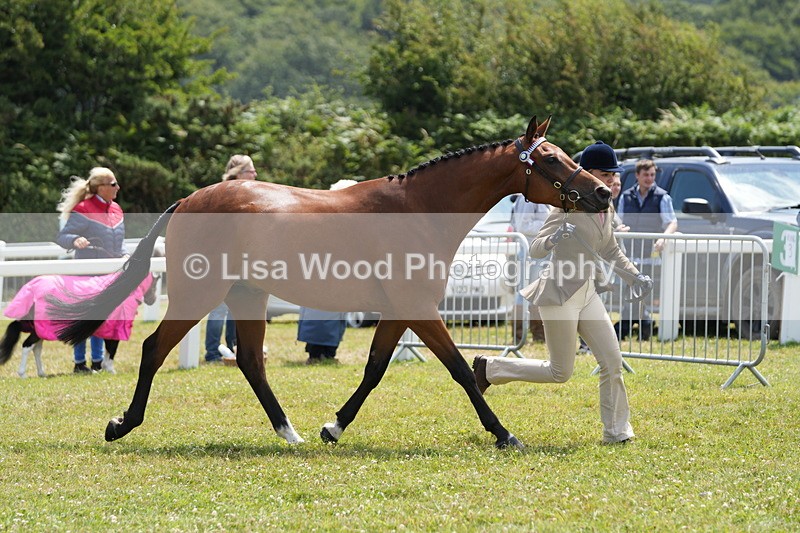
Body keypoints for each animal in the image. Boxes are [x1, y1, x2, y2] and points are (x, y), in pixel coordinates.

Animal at [0, 271, 159, 376]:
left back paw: (41, 373)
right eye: (154, 286)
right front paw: (110, 370)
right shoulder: (115, 330)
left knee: (36, 348)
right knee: (27, 346)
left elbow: (108, 350)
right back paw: (22, 373)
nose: (152, 300)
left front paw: (103, 368)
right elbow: (112, 349)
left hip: (39, 330)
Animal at [54, 116, 611, 449]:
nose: (603, 193)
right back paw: (122, 424)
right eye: (552, 159)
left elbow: (375, 368)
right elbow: (457, 369)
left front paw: (332, 426)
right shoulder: (419, 308)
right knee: (154, 349)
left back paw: (291, 433)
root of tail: (188, 200)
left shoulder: (400, 311)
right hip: (201, 293)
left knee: (251, 361)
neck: (417, 210)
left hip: (247, 295)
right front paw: (504, 434)